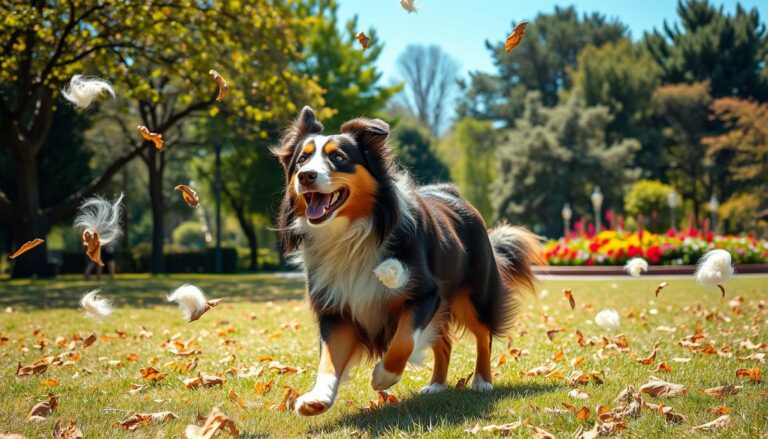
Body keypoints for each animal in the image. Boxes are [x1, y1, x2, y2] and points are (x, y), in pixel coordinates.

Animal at [272, 106, 544, 416]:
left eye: (339, 158)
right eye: (302, 159)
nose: (306, 176)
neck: (350, 235)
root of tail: (454, 194)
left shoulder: (425, 293)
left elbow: (403, 342)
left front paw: (383, 376)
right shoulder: (336, 305)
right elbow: (329, 357)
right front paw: (318, 397)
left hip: (473, 294)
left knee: (483, 333)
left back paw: (482, 380)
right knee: (445, 344)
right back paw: (436, 385)